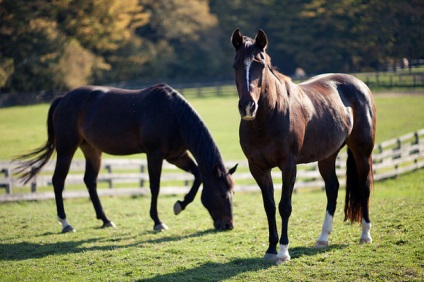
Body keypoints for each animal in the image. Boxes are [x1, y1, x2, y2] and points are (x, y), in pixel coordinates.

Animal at [14, 83, 237, 234]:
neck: (173, 115)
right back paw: (66, 223)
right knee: (58, 181)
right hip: (66, 148)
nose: (228, 225)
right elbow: (155, 187)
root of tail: (63, 98)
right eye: (222, 195)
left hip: (92, 150)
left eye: (232, 193)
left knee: (90, 181)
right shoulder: (154, 155)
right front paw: (157, 221)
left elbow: (198, 176)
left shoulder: (177, 156)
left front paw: (180, 205)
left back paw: (105, 220)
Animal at [232, 29, 378, 264]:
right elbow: (269, 206)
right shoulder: (258, 168)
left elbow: (284, 206)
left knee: (364, 187)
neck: (269, 117)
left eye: (259, 64)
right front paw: (270, 250)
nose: (247, 106)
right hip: (327, 157)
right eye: (235, 66)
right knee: (332, 189)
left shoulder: (289, 166)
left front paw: (283, 252)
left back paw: (365, 235)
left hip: (362, 152)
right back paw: (322, 239)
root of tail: (359, 84)